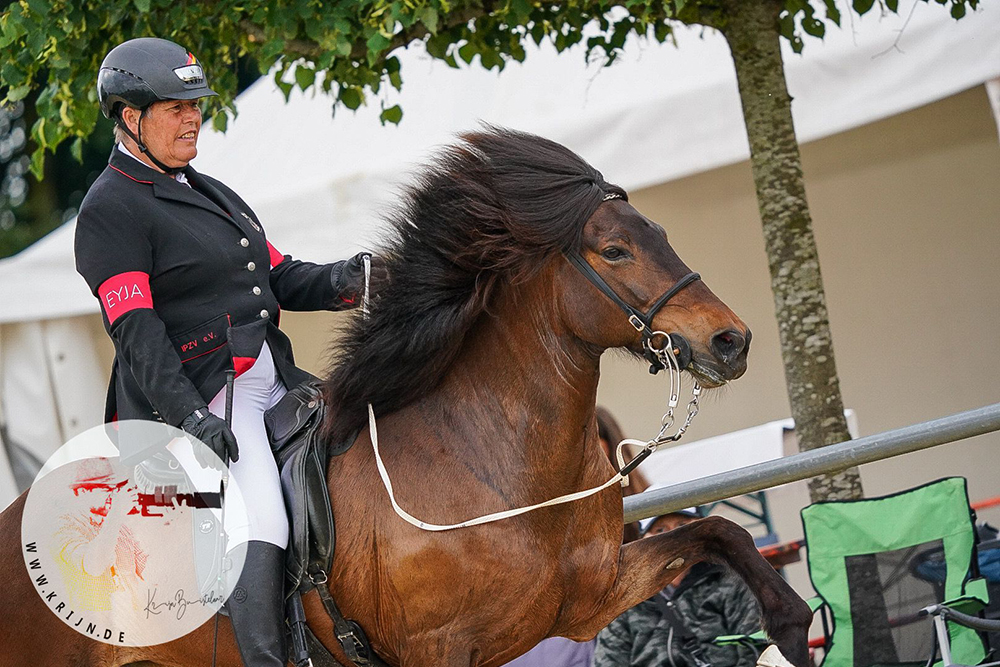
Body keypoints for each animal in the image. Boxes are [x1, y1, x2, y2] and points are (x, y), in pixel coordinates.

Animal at [0, 128, 808, 664]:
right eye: (614, 250)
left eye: (659, 231)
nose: (730, 342)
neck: (496, 462)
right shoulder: (439, 651)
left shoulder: (590, 598)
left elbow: (719, 533)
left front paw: (793, 624)